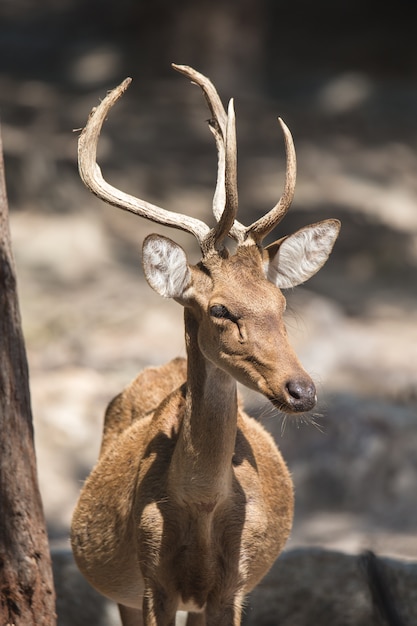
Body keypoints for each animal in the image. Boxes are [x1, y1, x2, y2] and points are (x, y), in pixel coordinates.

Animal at [70, 64, 340, 624]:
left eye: (281, 302)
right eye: (219, 309)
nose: (302, 390)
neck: (201, 506)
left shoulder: (232, 584)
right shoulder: (151, 578)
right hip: (122, 590)